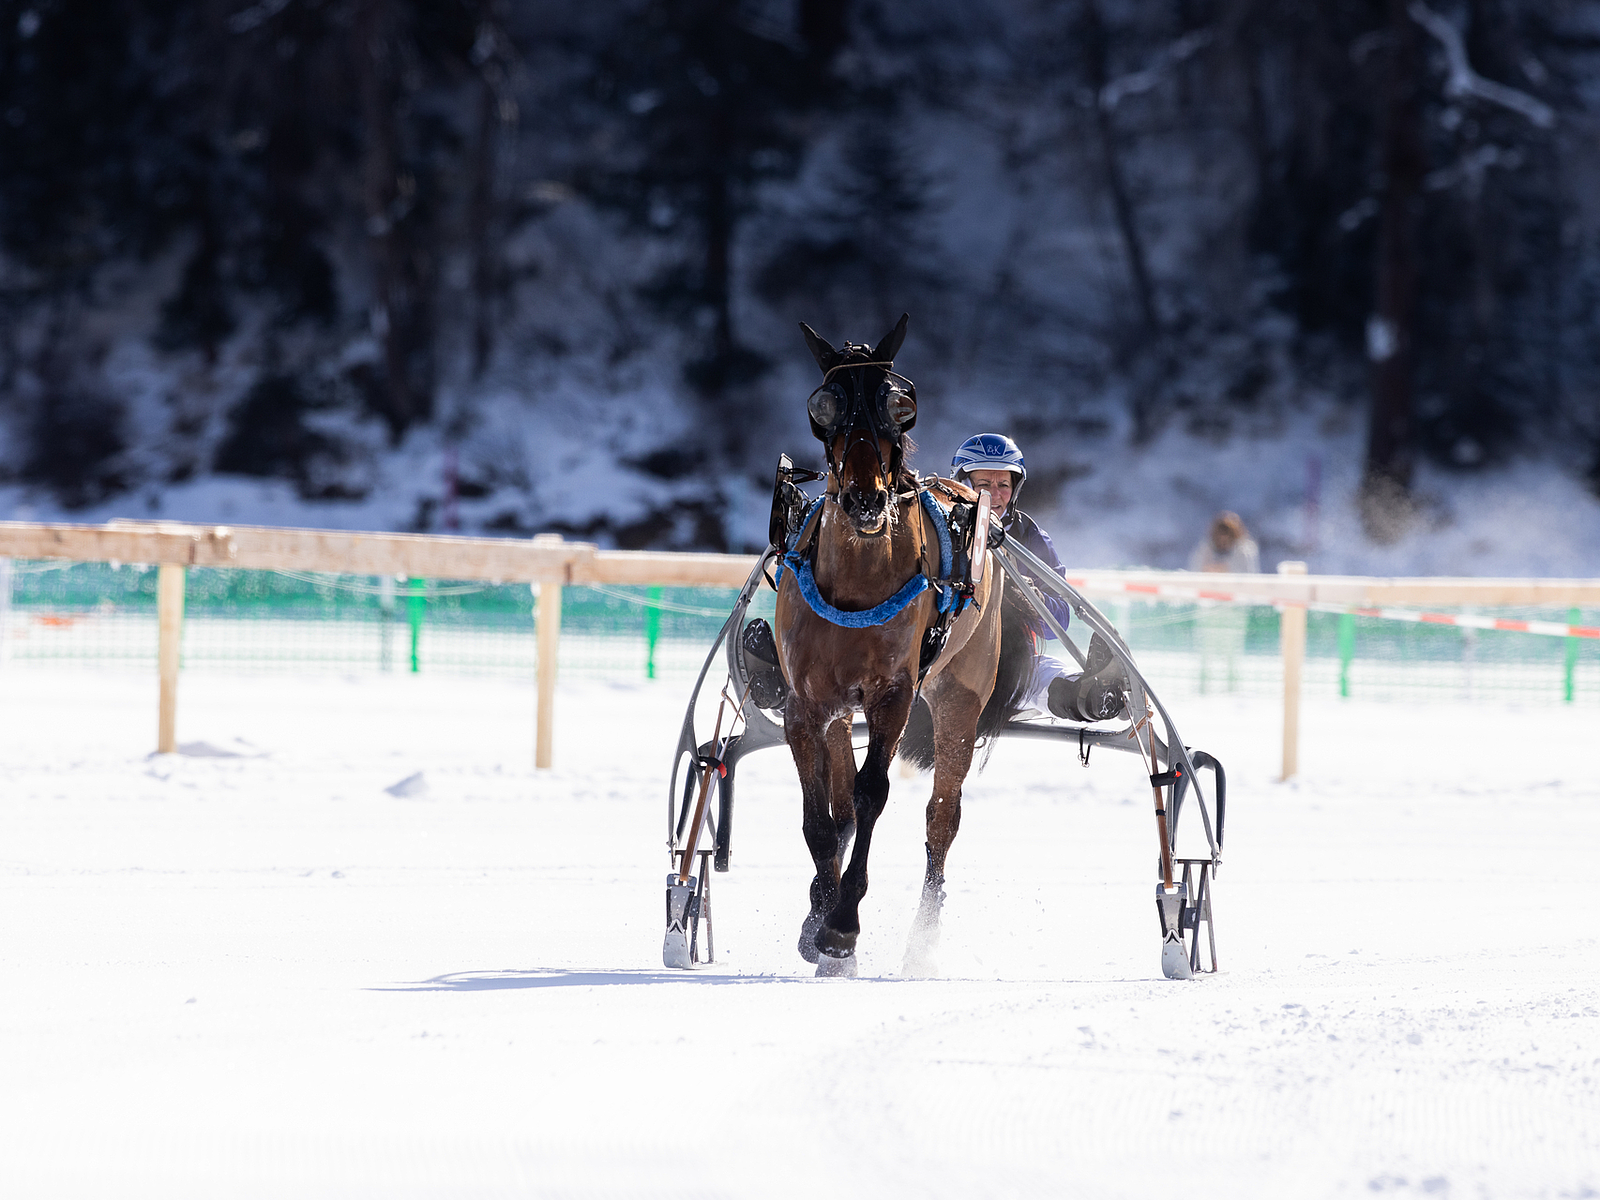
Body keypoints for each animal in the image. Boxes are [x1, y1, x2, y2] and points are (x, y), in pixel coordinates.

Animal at [773, 314, 1029, 976]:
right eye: (825, 405)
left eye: (899, 404)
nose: (866, 499)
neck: (860, 579)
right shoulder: (807, 704)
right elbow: (819, 816)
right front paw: (817, 918)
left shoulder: (892, 695)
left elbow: (872, 795)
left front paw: (842, 928)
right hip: (842, 710)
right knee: (839, 806)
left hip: (959, 696)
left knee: (942, 816)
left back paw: (921, 940)